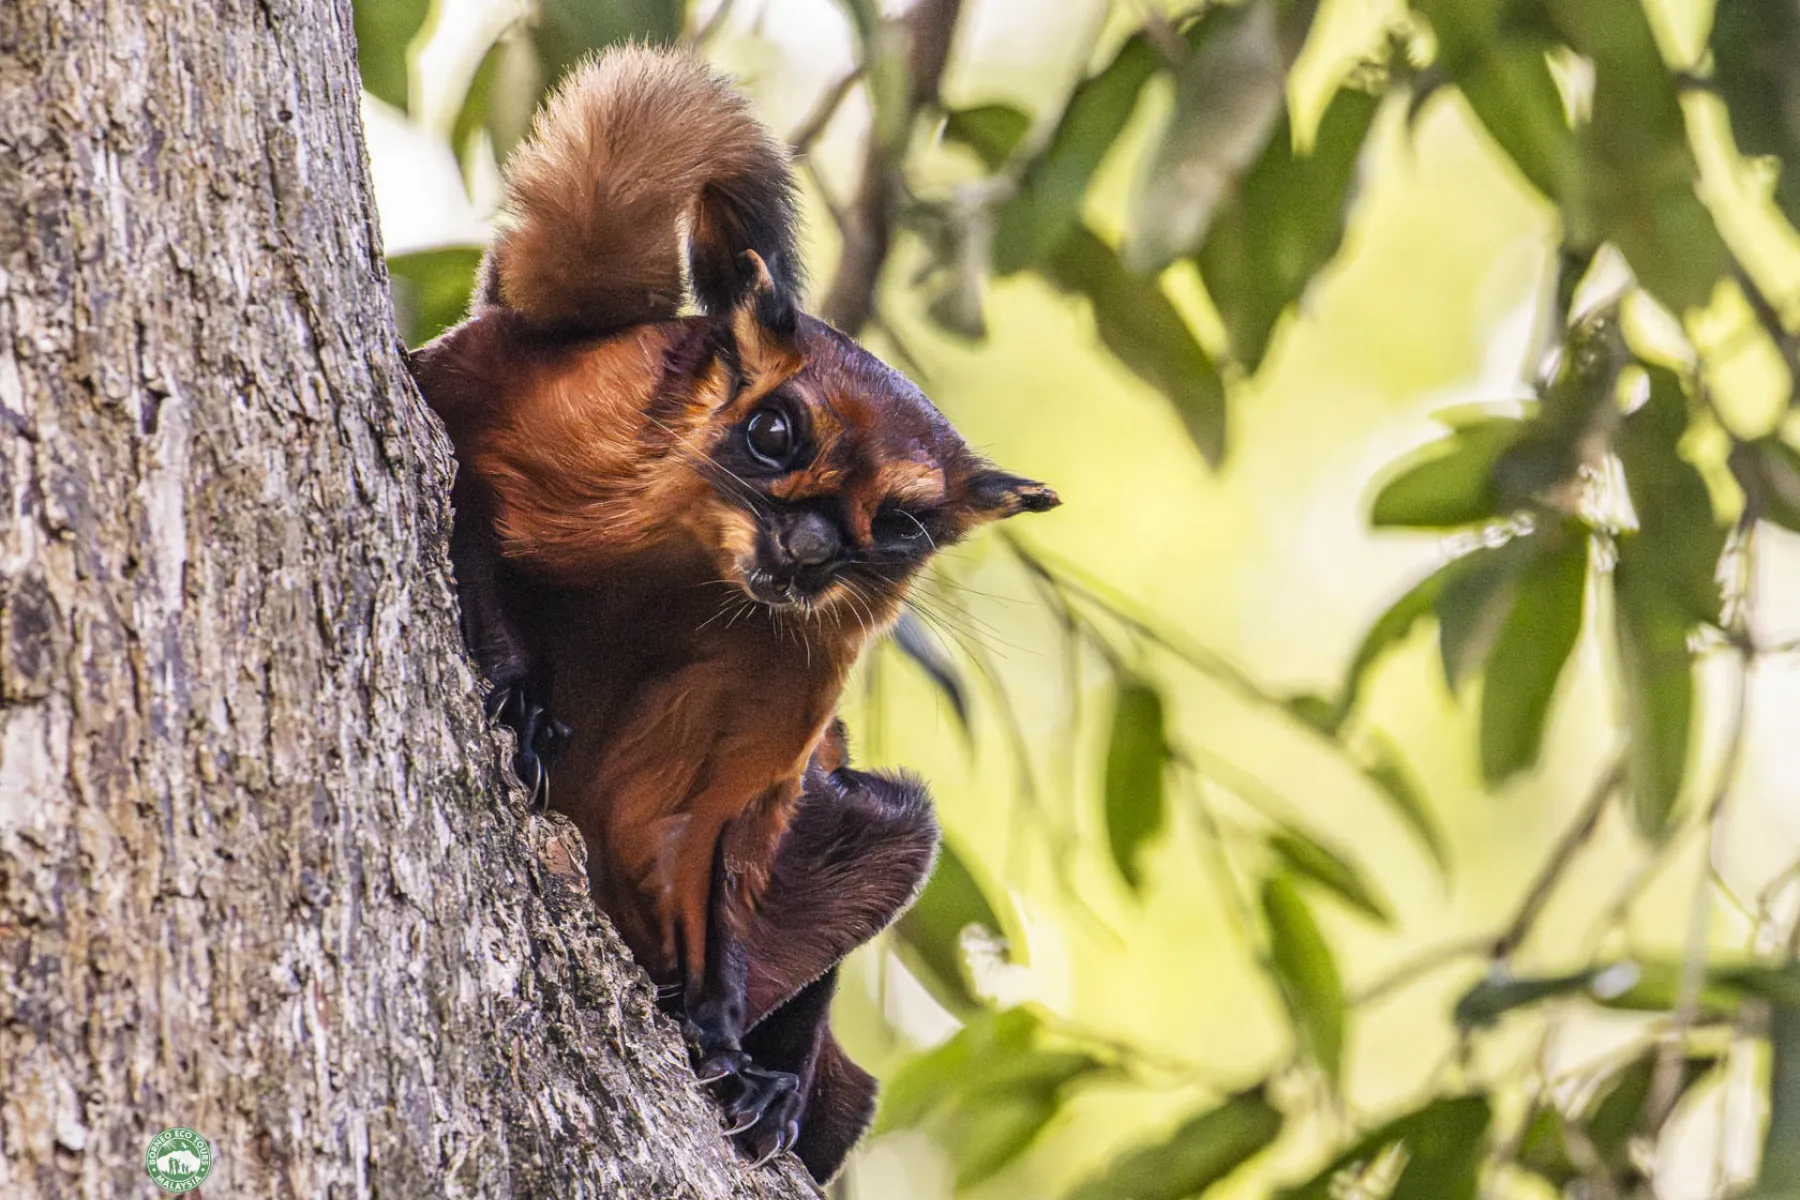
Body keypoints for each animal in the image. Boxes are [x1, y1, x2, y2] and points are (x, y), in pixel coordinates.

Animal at [408, 45, 1057, 1180]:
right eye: (775, 434)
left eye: (900, 526)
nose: (810, 550)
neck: (694, 570)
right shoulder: (550, 428)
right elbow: (468, 506)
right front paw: (521, 694)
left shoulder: (800, 671)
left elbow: (729, 828)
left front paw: (722, 1026)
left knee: (888, 828)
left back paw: (774, 1081)